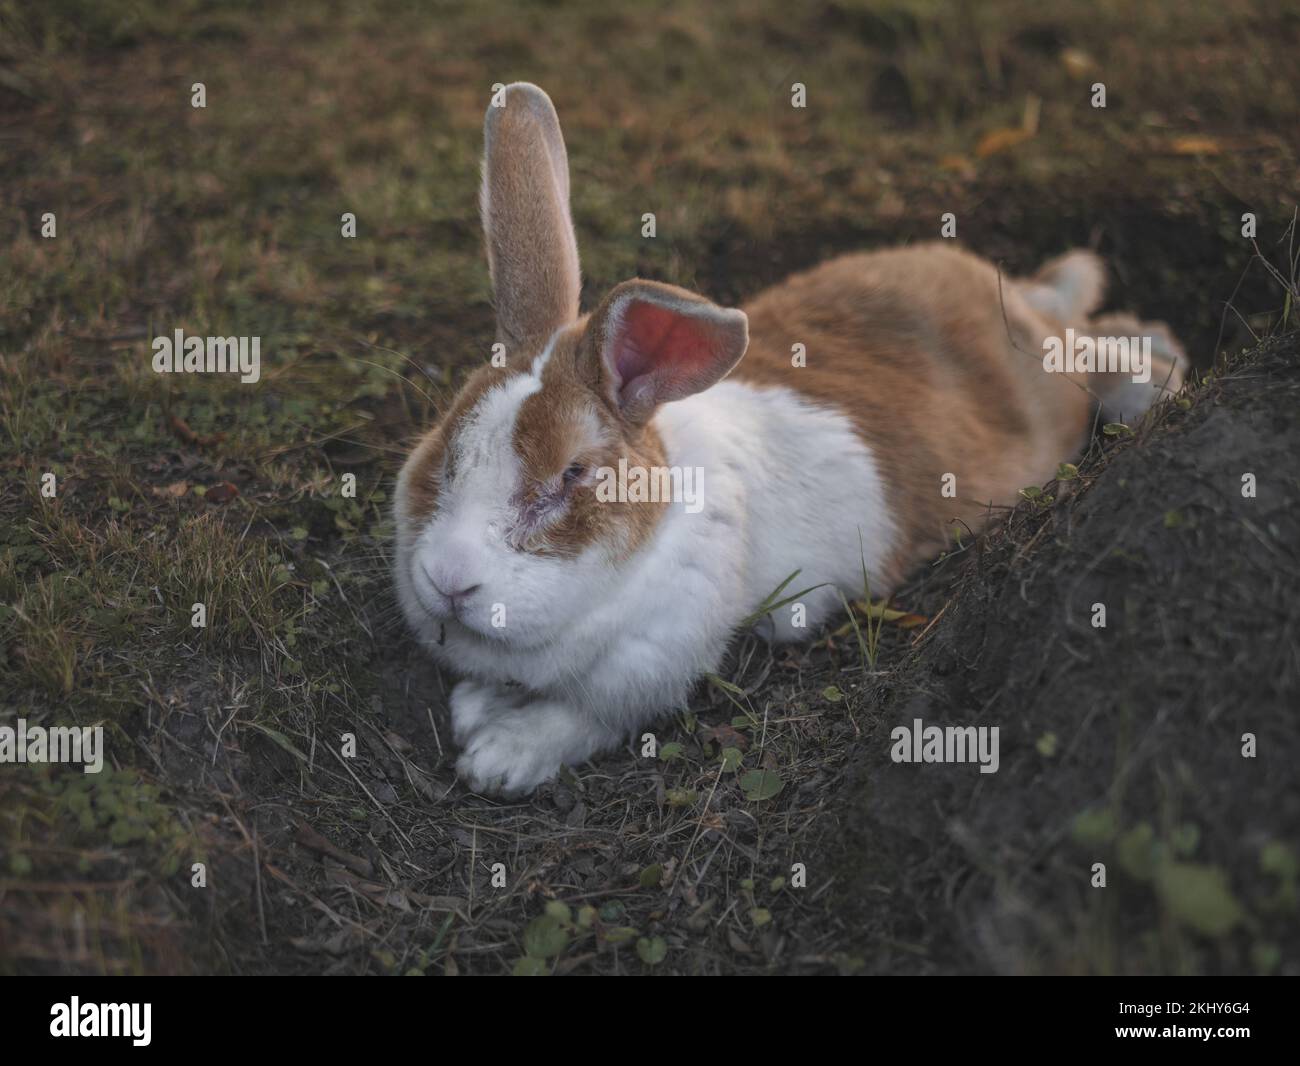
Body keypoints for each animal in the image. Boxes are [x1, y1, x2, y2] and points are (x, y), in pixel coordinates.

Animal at [392, 82, 1186, 797]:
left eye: (573, 476)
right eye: (446, 448)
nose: (449, 580)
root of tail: (1007, 295)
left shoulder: (653, 666)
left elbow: (581, 717)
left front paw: (501, 757)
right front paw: (477, 708)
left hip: (1052, 382)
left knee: (1084, 351)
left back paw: (1158, 376)